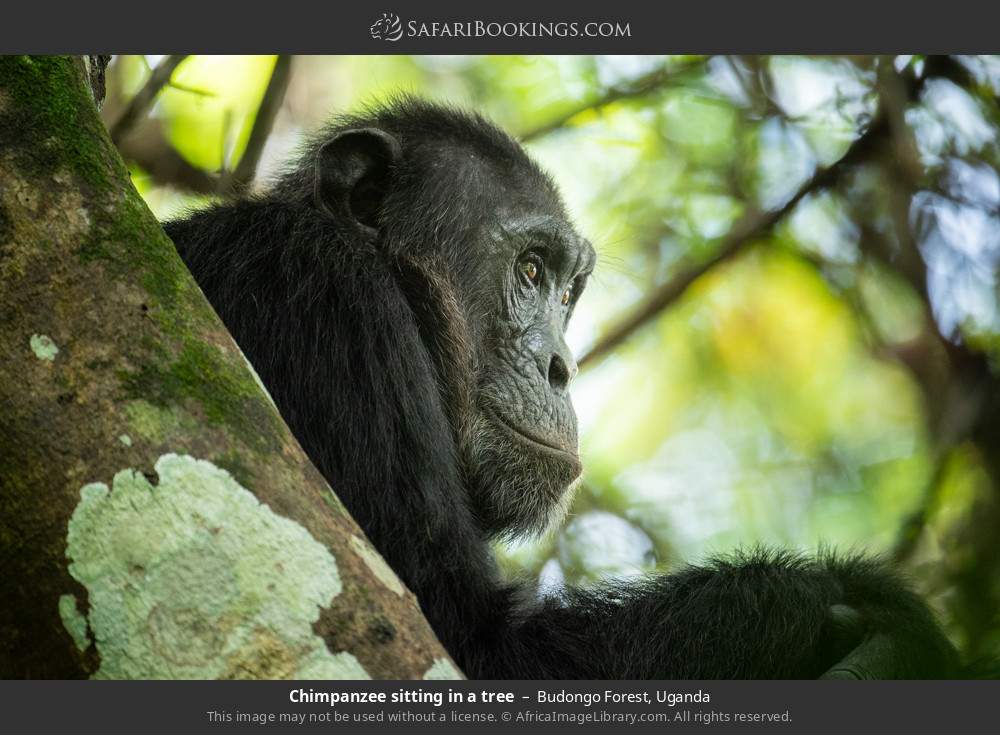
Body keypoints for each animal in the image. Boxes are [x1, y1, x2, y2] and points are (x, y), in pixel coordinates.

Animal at [166, 96, 960, 680]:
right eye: (529, 271)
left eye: (566, 291)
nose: (562, 365)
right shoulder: (336, 303)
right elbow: (474, 639)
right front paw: (841, 607)